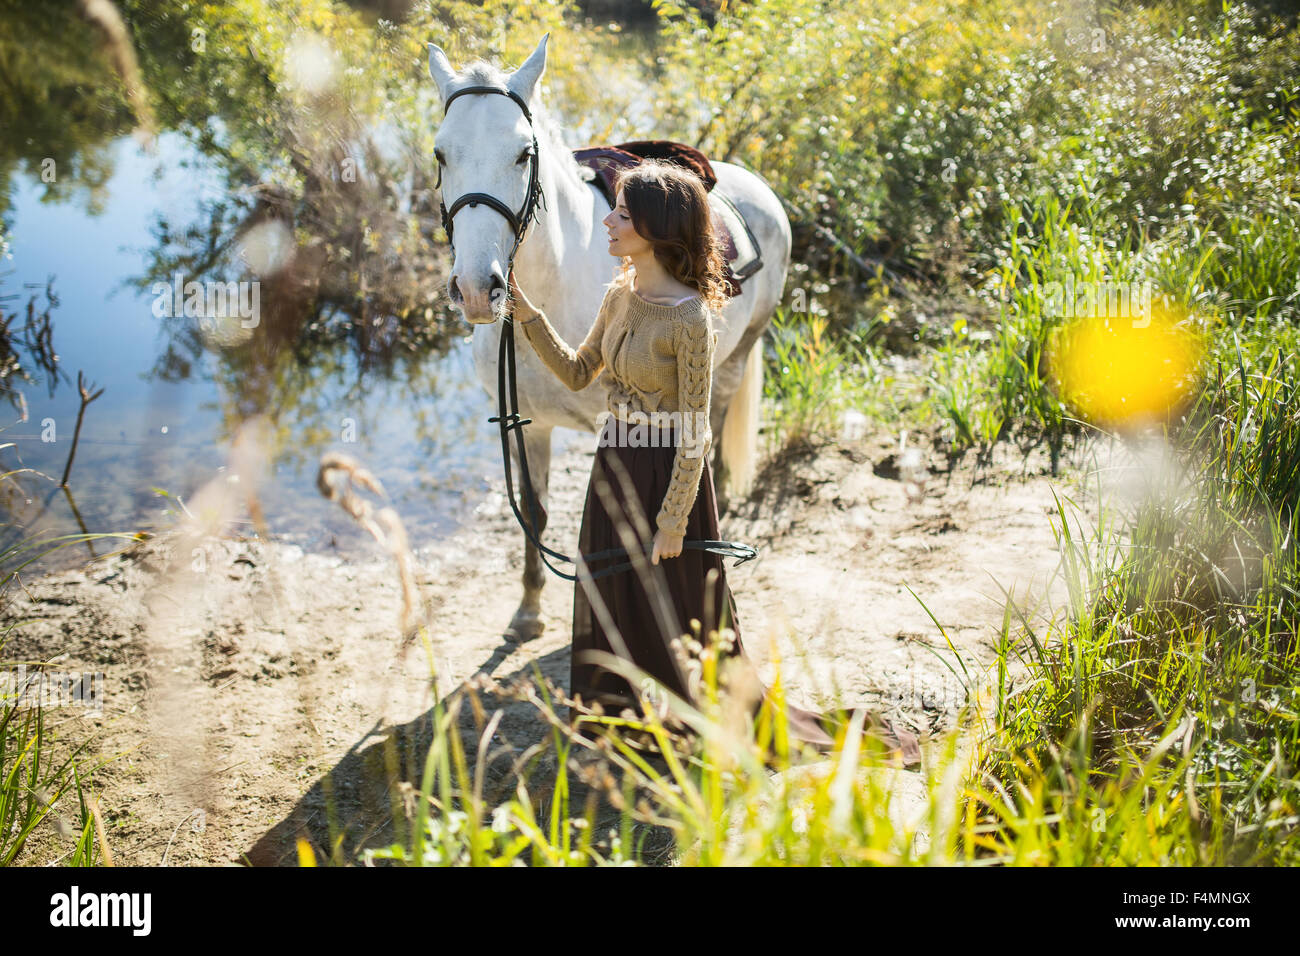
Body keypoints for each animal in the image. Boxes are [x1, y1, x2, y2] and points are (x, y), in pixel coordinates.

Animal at [426, 33, 790, 642]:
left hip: (734, 360)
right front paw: (528, 610)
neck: (561, 279)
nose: (477, 288)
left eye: (523, 154)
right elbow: (537, 511)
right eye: (440, 154)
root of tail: (756, 184)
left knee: (712, 437)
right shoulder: (531, 424)